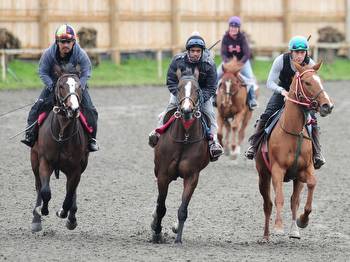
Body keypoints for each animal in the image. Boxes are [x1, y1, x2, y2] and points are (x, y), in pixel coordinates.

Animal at [29, 67, 89, 231]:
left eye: (79, 86)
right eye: (61, 86)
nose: (73, 109)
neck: (61, 133)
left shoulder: (75, 168)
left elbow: (69, 195)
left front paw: (63, 213)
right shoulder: (45, 161)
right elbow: (45, 191)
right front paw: (42, 210)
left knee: (72, 191)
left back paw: (71, 218)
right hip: (34, 160)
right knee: (38, 186)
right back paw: (36, 219)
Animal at [151, 67, 211, 244]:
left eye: (197, 90)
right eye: (178, 88)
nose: (186, 110)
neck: (184, 137)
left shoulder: (192, 176)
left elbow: (183, 208)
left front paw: (178, 238)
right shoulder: (163, 174)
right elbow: (161, 206)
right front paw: (157, 232)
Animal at [254, 62, 334, 242]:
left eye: (320, 80)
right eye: (307, 82)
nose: (328, 106)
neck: (294, 132)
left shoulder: (304, 171)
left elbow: (310, 185)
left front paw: (302, 221)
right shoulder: (277, 170)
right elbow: (279, 198)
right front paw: (278, 227)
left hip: (297, 180)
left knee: (294, 200)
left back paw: (294, 230)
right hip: (263, 175)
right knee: (267, 204)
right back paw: (266, 236)